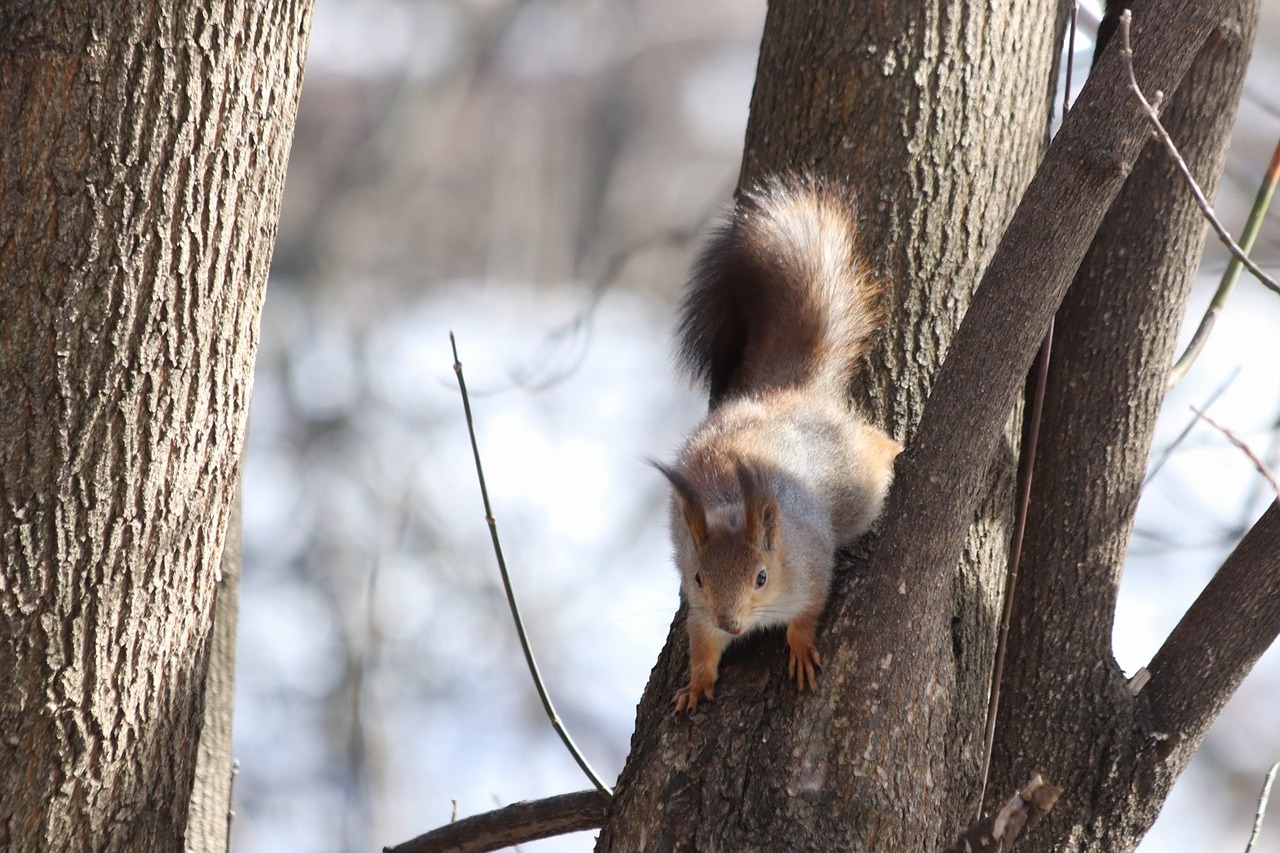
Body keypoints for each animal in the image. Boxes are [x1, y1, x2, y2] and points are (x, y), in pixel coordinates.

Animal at [655, 178, 906, 712]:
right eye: (698, 577)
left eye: (761, 577)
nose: (732, 622)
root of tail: (785, 394)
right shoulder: (701, 611)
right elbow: (702, 646)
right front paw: (696, 683)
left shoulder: (812, 569)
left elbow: (808, 614)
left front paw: (801, 648)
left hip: (856, 482)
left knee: (874, 451)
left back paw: (892, 449)